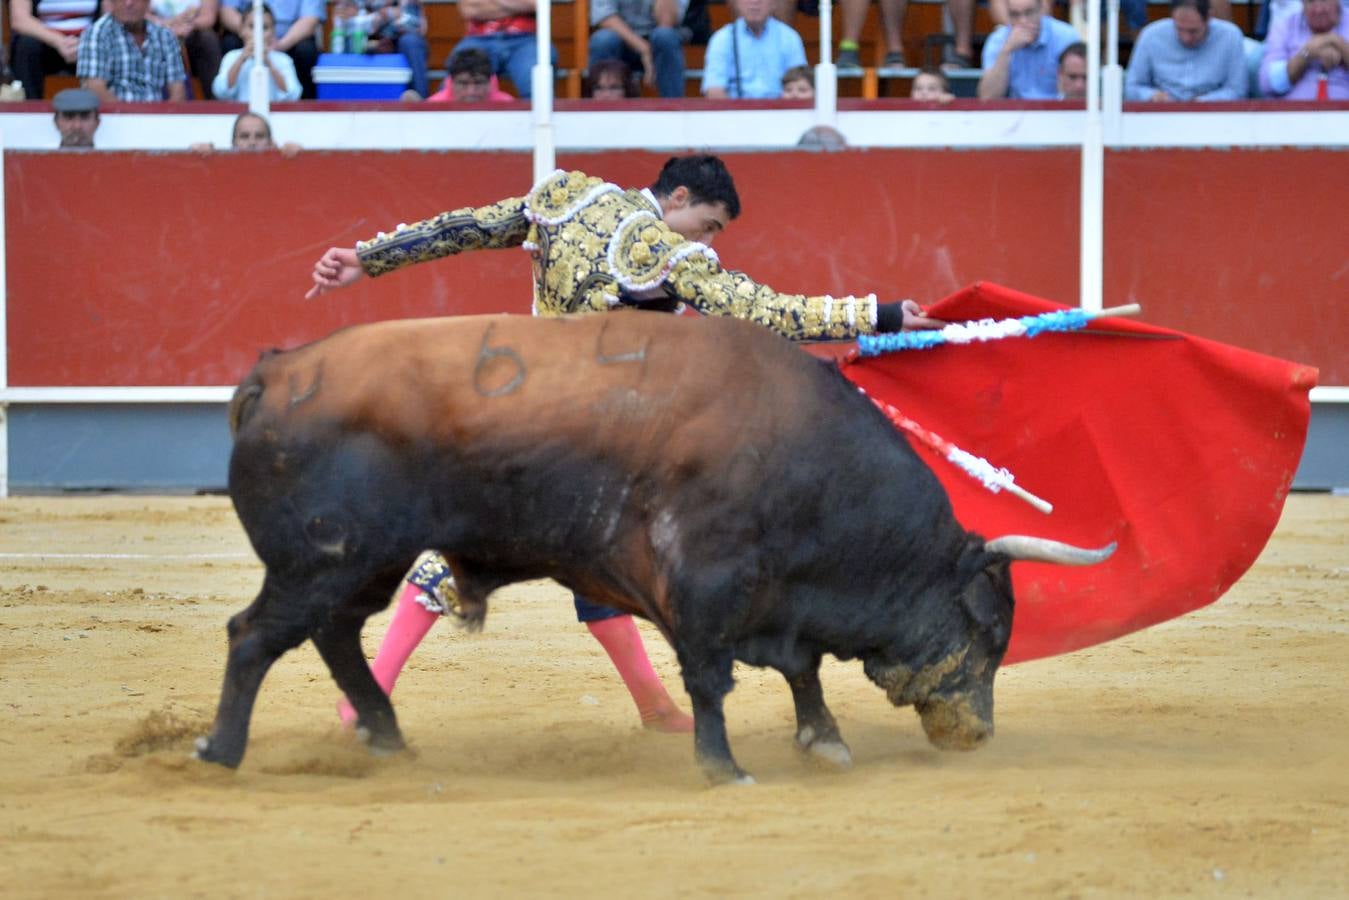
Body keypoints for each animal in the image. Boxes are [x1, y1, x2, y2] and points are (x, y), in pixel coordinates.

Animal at [195, 311, 1111, 782]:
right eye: (992, 631)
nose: (975, 734)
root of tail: (277, 370)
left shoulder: (774, 599)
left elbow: (802, 668)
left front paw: (820, 738)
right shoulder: (707, 583)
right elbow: (713, 677)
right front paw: (724, 766)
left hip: (360, 563)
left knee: (335, 634)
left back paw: (384, 735)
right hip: (323, 557)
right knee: (254, 637)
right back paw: (221, 751)